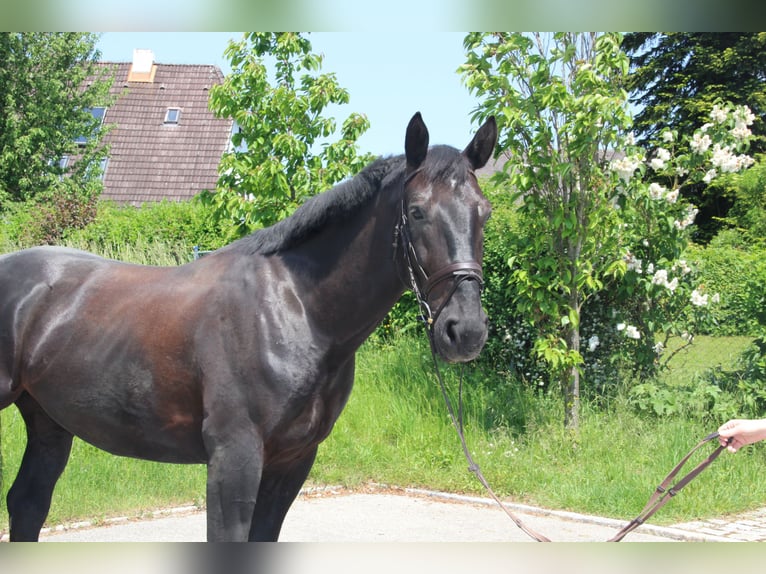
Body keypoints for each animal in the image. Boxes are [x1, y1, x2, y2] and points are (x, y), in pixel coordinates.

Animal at [0, 113, 498, 544]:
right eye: (416, 212)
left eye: (485, 211)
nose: (466, 330)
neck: (297, 311)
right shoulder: (234, 457)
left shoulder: (293, 461)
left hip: (48, 421)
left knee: (27, 503)